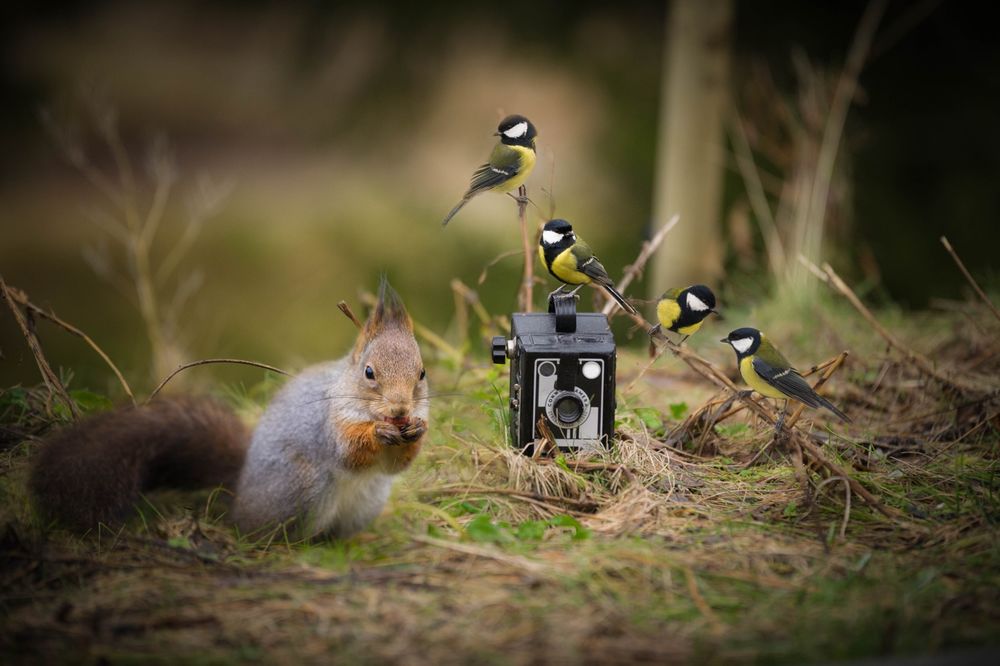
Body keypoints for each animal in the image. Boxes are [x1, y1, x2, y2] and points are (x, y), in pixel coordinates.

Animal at [29, 279, 429, 539]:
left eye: (422, 373)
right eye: (369, 373)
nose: (399, 410)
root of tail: (240, 492)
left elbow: (396, 466)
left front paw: (416, 432)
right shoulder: (328, 423)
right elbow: (349, 451)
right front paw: (379, 432)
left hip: (366, 502)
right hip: (299, 487)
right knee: (257, 532)